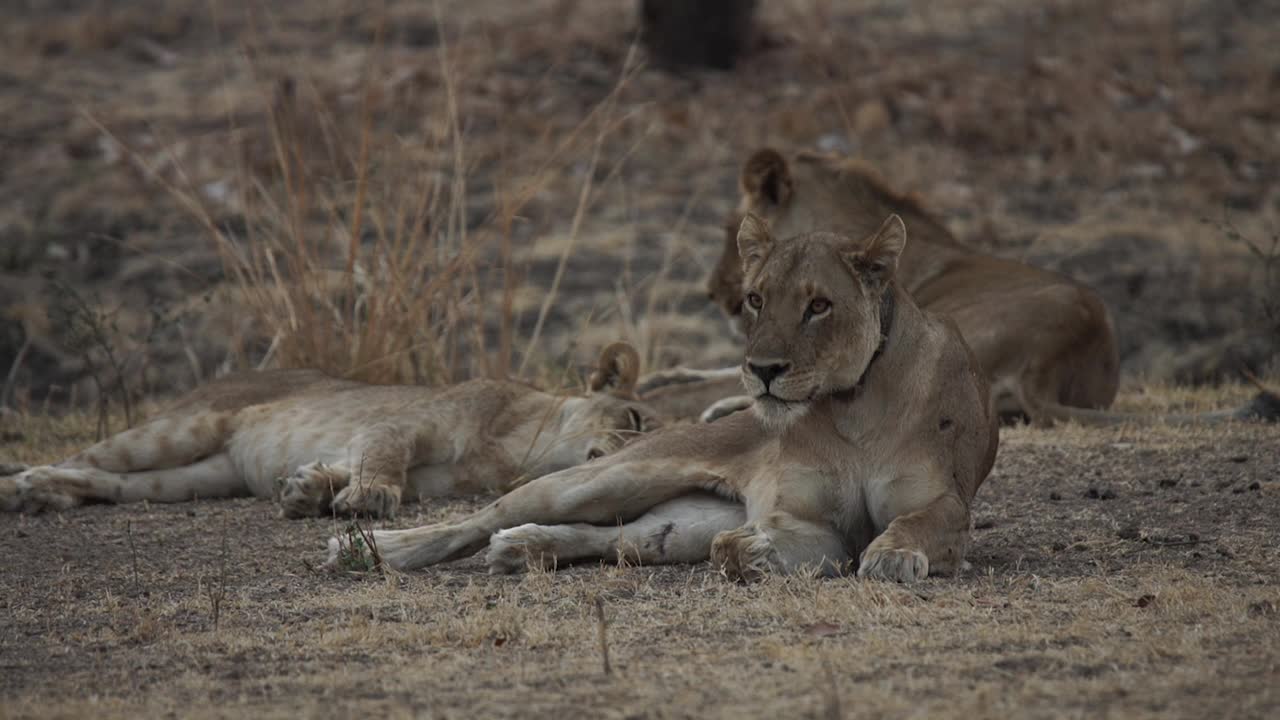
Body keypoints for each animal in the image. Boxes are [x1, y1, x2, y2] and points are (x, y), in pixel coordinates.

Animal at [0, 340, 660, 515]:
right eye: (635, 419)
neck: (522, 453)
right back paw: (22, 486)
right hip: (182, 428)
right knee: (87, 456)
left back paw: (49, 495)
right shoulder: (403, 424)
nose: (647, 453)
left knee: (113, 483)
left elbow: (350, 465)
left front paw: (309, 490)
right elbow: (383, 460)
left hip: (198, 478)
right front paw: (367, 498)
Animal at [335, 213, 1003, 584]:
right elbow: (767, 542)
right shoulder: (804, 517)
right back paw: (371, 547)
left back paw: (526, 548)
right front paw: (754, 551)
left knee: (613, 540)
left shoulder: (943, 500)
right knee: (481, 517)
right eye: (756, 299)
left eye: (819, 305)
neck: (852, 406)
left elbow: (924, 521)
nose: (762, 371)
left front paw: (893, 554)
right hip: (609, 476)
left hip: (681, 522)